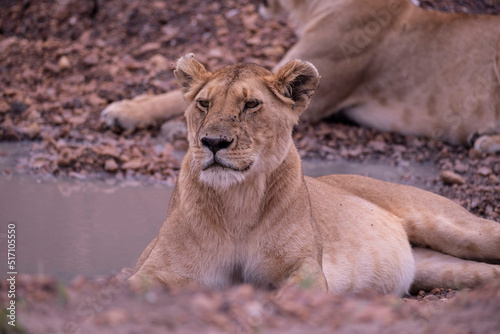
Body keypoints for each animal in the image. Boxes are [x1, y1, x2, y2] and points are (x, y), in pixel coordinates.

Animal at [130, 53, 500, 294]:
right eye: (204, 104)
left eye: (251, 105)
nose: (213, 142)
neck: (237, 201)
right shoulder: (151, 270)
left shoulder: (305, 266)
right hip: (436, 266)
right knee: (485, 273)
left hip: (455, 227)